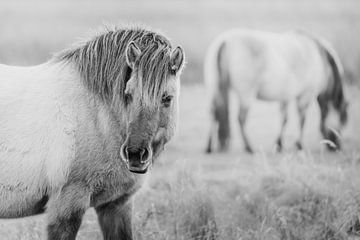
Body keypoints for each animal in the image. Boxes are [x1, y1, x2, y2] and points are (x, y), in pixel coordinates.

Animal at [0, 25, 186, 239]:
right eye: (128, 95)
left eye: (167, 98)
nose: (135, 154)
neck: (98, 117)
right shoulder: (66, 207)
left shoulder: (115, 205)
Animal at [205, 29, 348, 153]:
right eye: (343, 118)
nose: (337, 146)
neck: (319, 56)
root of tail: (225, 41)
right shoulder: (305, 95)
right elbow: (302, 119)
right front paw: (299, 144)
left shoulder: (285, 97)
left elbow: (284, 119)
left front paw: (279, 144)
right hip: (246, 94)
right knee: (240, 118)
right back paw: (249, 147)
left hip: (215, 91)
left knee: (213, 114)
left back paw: (209, 147)